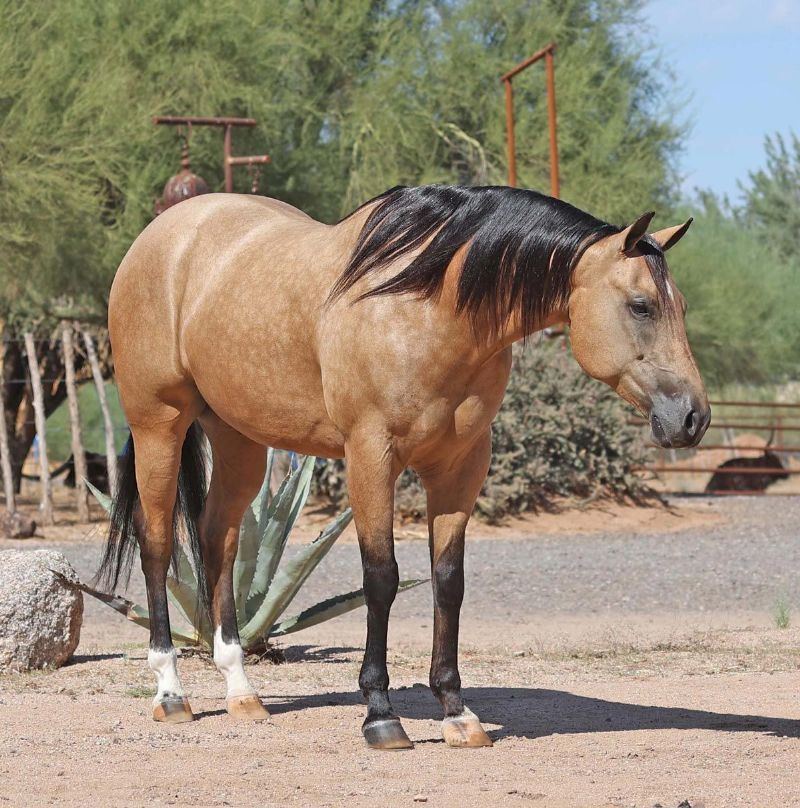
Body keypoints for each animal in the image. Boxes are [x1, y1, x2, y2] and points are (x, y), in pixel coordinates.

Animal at [101, 184, 710, 749]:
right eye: (641, 305)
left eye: (681, 307)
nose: (692, 418)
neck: (430, 308)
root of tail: (161, 235)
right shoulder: (371, 457)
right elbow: (381, 578)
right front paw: (380, 714)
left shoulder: (461, 467)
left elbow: (448, 581)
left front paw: (457, 712)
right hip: (160, 425)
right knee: (157, 544)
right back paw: (171, 693)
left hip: (238, 441)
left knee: (218, 541)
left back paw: (241, 691)